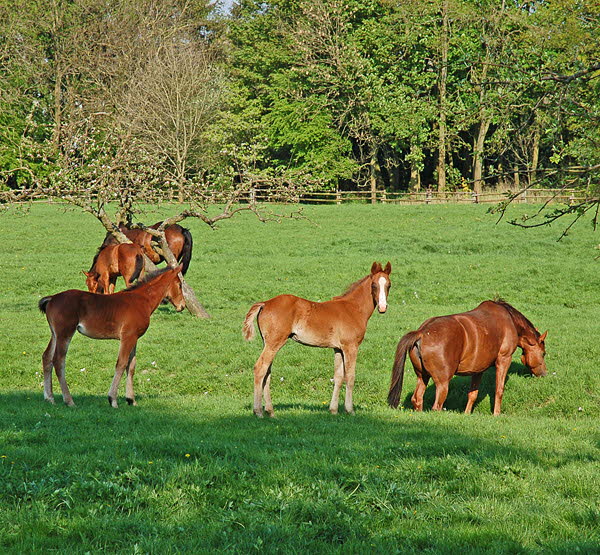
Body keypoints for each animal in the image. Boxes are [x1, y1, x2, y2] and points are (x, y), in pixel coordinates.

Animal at [38, 264, 184, 408]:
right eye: (180, 285)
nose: (182, 306)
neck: (142, 300)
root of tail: (52, 298)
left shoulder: (134, 338)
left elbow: (131, 366)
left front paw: (131, 399)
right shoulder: (127, 337)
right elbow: (121, 363)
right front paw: (112, 399)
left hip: (55, 334)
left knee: (47, 357)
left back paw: (49, 398)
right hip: (65, 333)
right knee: (58, 361)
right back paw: (69, 400)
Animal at [244, 264, 394, 416]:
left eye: (389, 285)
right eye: (374, 285)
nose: (383, 307)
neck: (353, 308)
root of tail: (265, 303)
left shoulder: (338, 349)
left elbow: (338, 377)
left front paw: (333, 410)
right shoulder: (350, 346)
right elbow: (350, 377)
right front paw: (350, 410)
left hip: (268, 343)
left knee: (267, 372)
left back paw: (270, 411)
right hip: (275, 343)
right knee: (260, 368)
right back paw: (258, 411)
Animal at [386, 300, 548, 416]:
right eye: (543, 353)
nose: (544, 374)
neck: (509, 320)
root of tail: (421, 332)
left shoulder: (478, 369)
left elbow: (473, 394)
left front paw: (466, 414)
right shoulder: (503, 360)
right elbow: (499, 390)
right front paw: (496, 414)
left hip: (422, 377)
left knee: (417, 399)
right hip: (442, 383)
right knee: (437, 406)